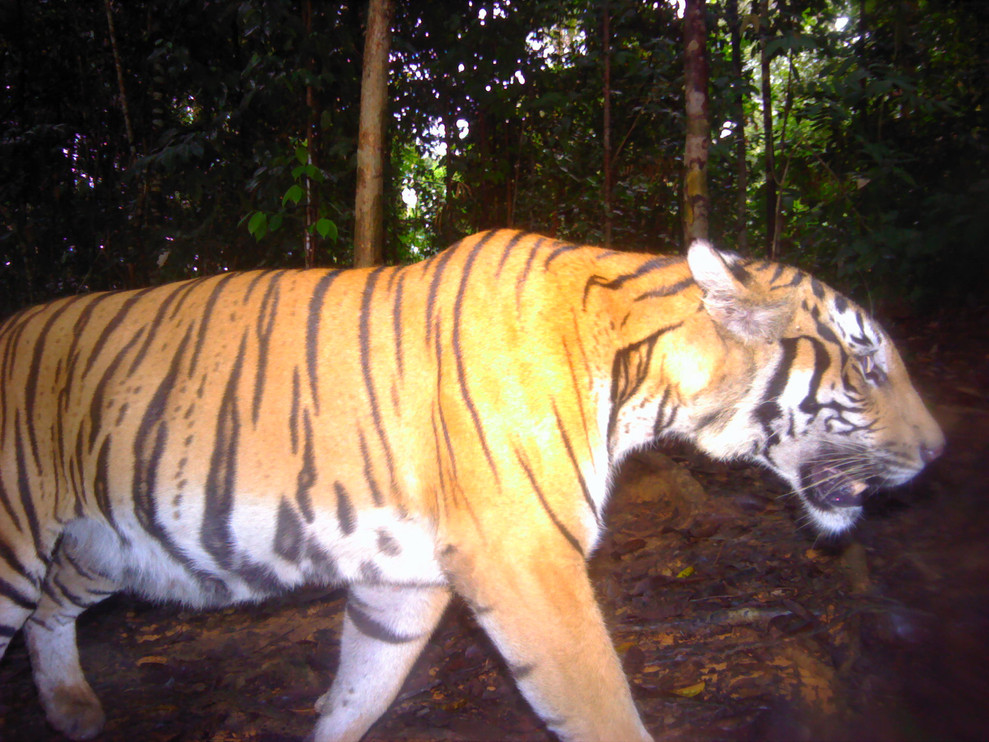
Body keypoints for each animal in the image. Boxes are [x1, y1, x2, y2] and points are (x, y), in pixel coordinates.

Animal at [0, 229, 942, 741]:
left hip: (105, 541)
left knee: (53, 610)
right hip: (19, 539)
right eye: (866, 367)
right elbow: (600, 706)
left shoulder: (402, 581)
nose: (938, 453)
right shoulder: (528, 563)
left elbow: (359, 692)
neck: (645, 378)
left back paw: (73, 706)